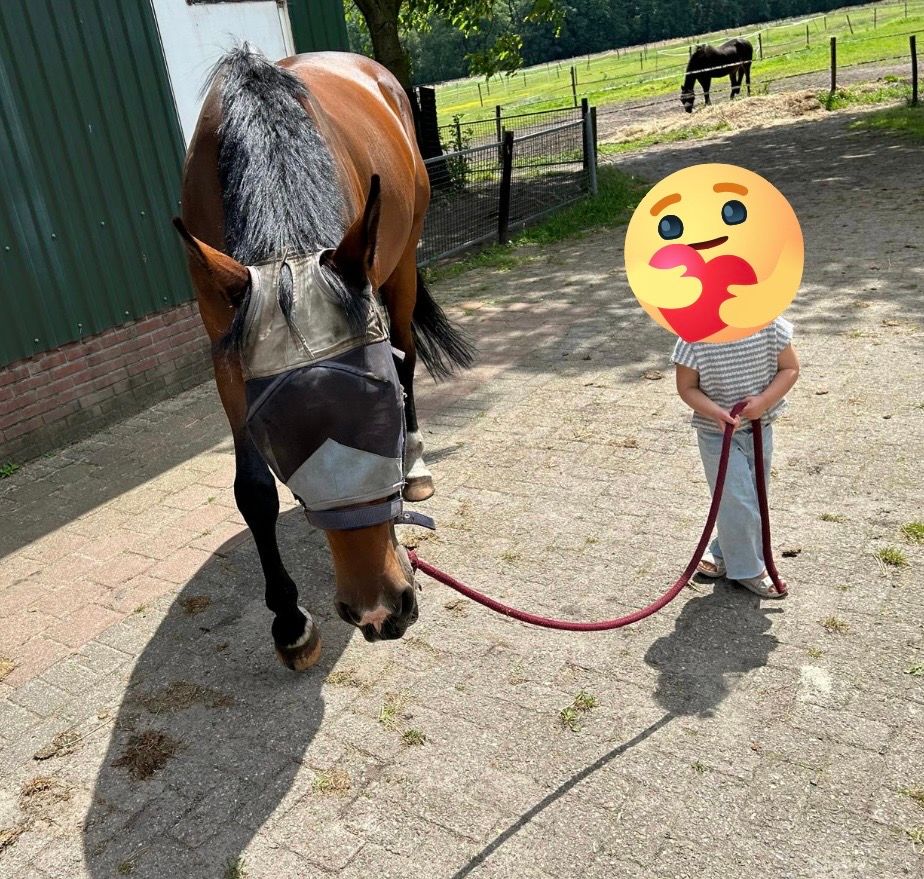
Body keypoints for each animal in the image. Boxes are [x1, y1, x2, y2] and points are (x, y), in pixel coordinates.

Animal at [176, 47, 473, 670]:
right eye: (274, 433)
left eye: (383, 414)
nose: (379, 611)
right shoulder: (225, 353)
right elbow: (252, 490)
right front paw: (290, 623)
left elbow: (399, 370)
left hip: (401, 266)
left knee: (409, 355)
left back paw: (418, 470)